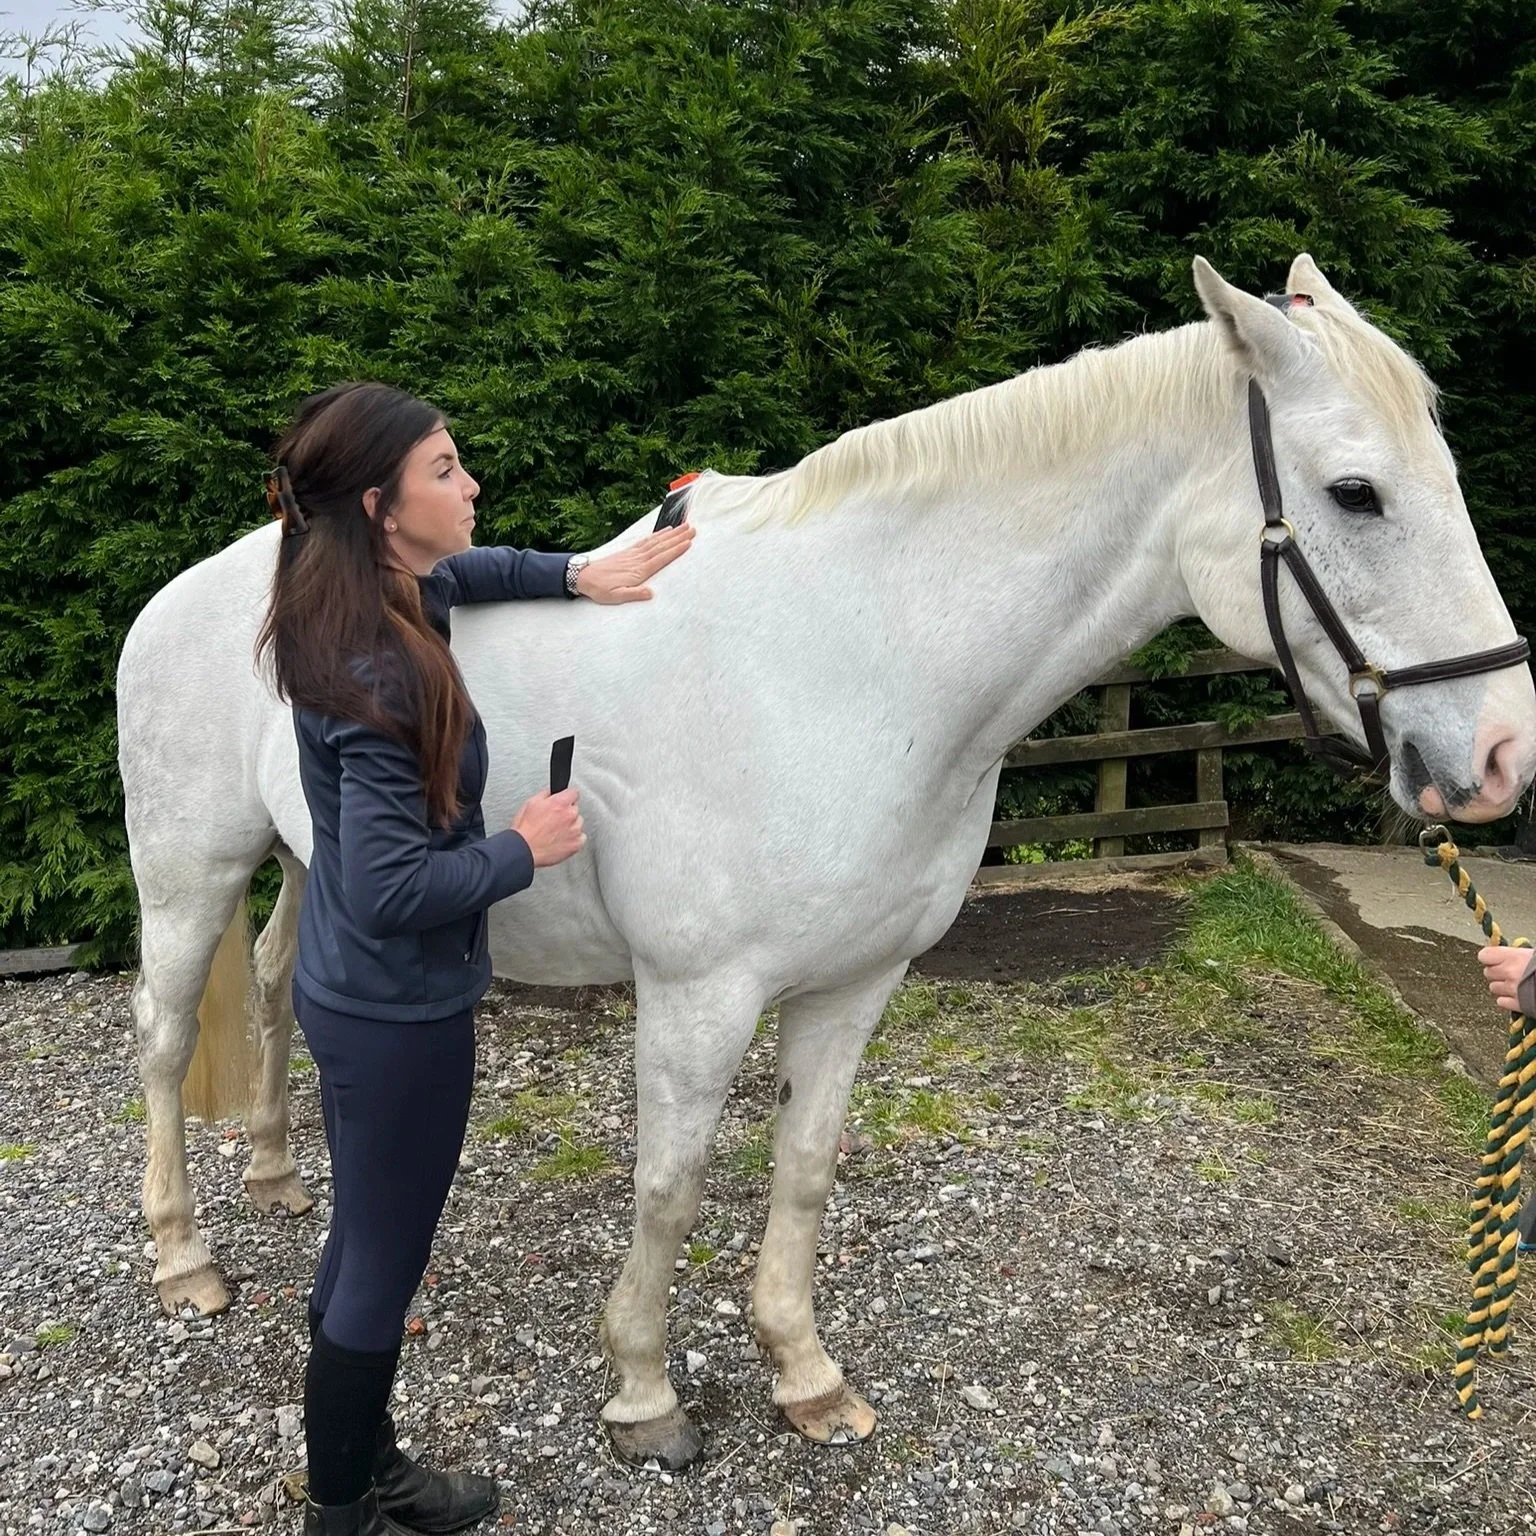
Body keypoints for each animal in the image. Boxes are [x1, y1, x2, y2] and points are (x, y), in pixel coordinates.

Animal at [116, 256, 1536, 1467]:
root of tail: (214, 581)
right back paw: (185, 1259)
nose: (1501, 754)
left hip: (308, 868)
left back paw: (279, 1178)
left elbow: (801, 1174)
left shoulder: (857, 986)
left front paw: (805, 1378)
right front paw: (645, 1394)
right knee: (167, 1033)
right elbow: (672, 1187)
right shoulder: (697, 996)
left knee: (285, 985)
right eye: (1355, 492)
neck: (853, 661)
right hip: (187, 874)